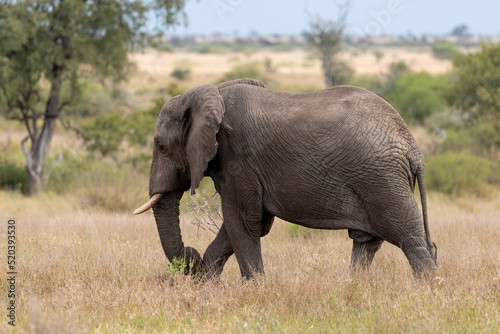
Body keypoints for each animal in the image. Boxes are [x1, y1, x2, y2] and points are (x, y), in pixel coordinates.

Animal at [133, 77, 438, 280]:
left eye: (161, 146)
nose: (190, 259)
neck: (211, 91)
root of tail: (413, 148)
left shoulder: (239, 160)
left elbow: (242, 221)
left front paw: (254, 290)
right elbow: (251, 224)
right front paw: (207, 283)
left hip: (382, 180)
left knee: (410, 239)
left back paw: (429, 291)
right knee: (367, 243)